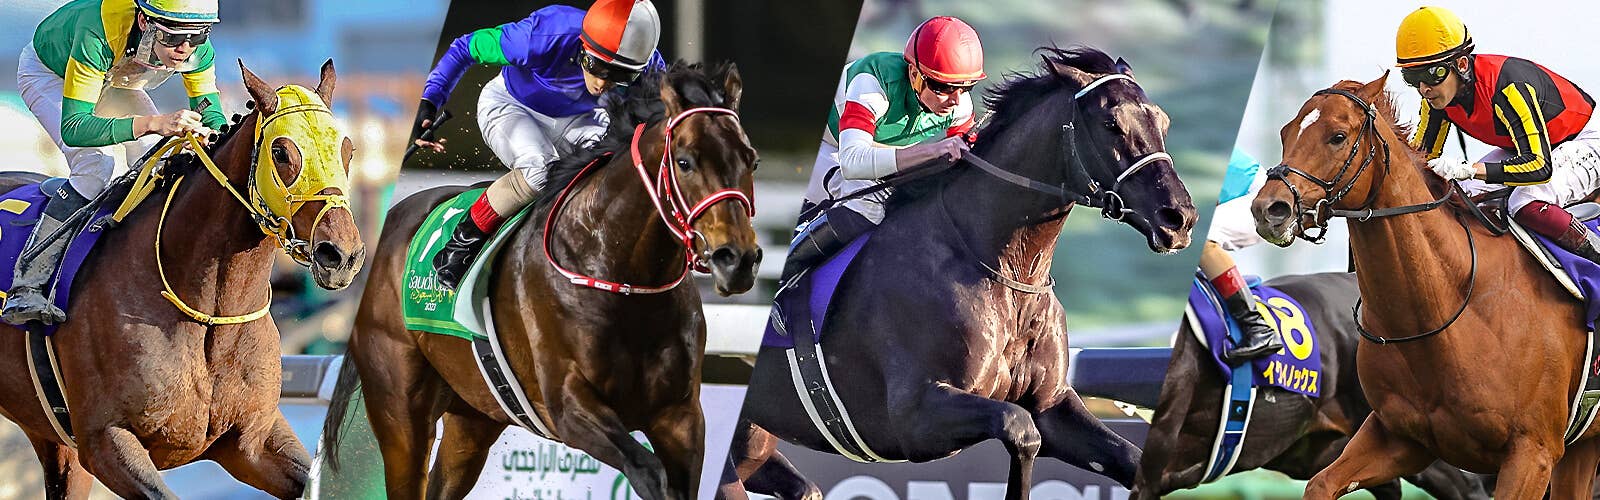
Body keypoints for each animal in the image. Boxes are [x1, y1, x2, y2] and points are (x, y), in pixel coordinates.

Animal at [0, 60, 363, 498]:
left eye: (346, 149)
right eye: (281, 152)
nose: (341, 255)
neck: (209, 315)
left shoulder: (252, 441)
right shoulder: (106, 441)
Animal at [319, 62, 760, 500]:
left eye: (751, 160)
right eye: (684, 161)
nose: (737, 259)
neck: (620, 276)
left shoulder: (680, 415)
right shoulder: (569, 407)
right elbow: (648, 471)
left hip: (472, 416)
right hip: (400, 411)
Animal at [722, 47, 1197, 500]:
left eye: (1163, 121)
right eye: (1111, 123)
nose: (1180, 217)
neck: (1005, 273)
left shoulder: (1053, 405)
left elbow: (1125, 456)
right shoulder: (913, 418)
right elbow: (1021, 430)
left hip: (755, 439)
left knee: (801, 488)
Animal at [1252, 74, 1600, 499]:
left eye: (1337, 136)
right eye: (1285, 132)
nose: (1269, 210)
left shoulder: (1533, 453)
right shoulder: (1398, 437)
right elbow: (1320, 484)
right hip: (1582, 446)